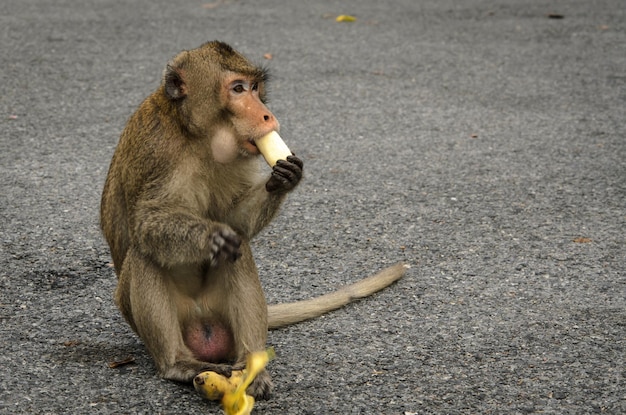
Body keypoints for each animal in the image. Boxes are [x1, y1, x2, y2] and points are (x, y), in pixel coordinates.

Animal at [100, 41, 408, 400]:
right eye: (237, 89)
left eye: (255, 87)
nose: (267, 115)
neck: (197, 135)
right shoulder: (157, 148)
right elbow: (146, 221)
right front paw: (210, 237)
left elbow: (235, 221)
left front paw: (282, 178)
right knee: (145, 251)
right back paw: (177, 363)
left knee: (240, 250)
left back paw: (252, 365)